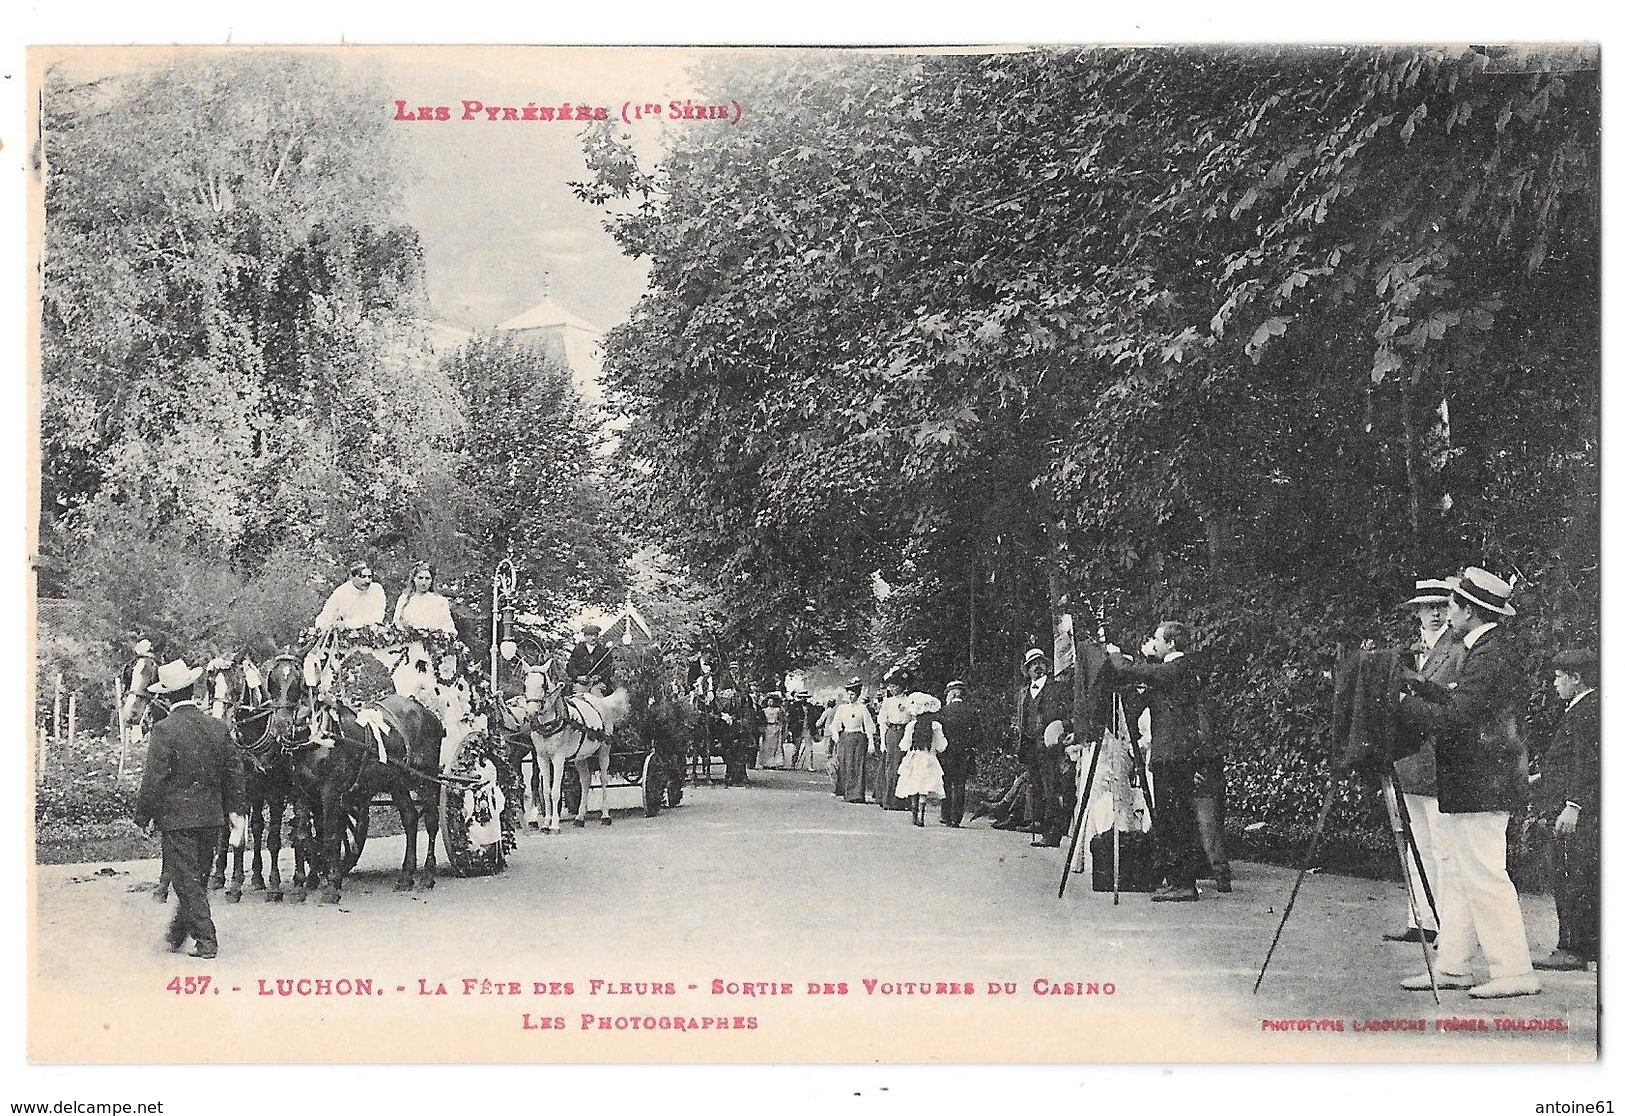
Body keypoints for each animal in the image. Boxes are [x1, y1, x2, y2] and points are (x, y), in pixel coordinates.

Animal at [523, 662, 624, 828]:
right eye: (525, 684)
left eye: (543, 685)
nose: (531, 713)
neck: (549, 723)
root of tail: (599, 701)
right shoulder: (541, 757)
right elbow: (546, 791)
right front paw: (545, 824)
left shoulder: (558, 757)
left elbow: (555, 791)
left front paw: (554, 825)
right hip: (580, 756)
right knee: (585, 780)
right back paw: (580, 817)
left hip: (604, 749)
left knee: (604, 780)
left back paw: (605, 816)